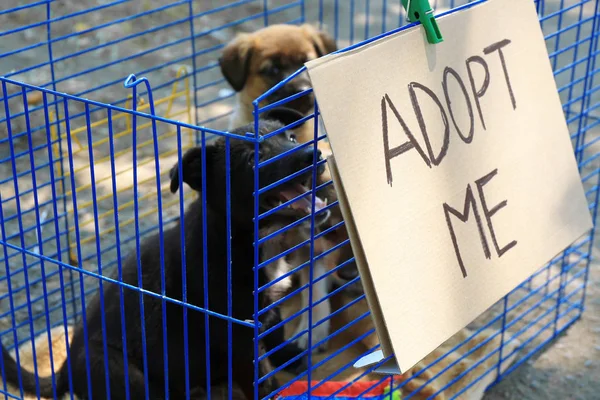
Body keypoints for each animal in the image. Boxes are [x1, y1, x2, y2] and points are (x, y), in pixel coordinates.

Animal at [1, 107, 328, 400]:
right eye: (253, 159)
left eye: (291, 137)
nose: (314, 156)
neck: (253, 238)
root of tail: (65, 370)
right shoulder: (236, 328)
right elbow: (258, 372)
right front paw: (272, 389)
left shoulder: (269, 304)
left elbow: (276, 331)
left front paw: (290, 354)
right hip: (118, 370)